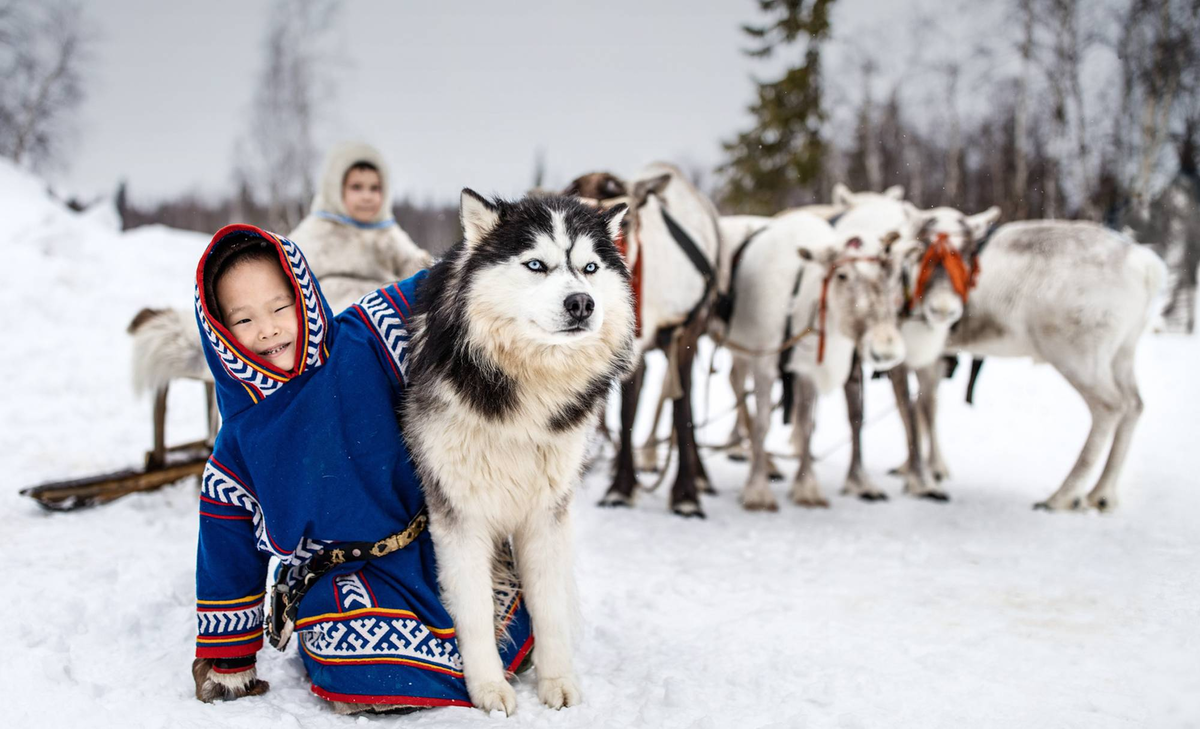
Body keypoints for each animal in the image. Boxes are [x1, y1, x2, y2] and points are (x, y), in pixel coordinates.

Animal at [403, 189, 638, 719]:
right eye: (536, 264)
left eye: (590, 268)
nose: (581, 302)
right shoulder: (459, 514)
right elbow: (473, 611)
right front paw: (489, 689)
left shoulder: (547, 513)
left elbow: (548, 606)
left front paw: (557, 682)